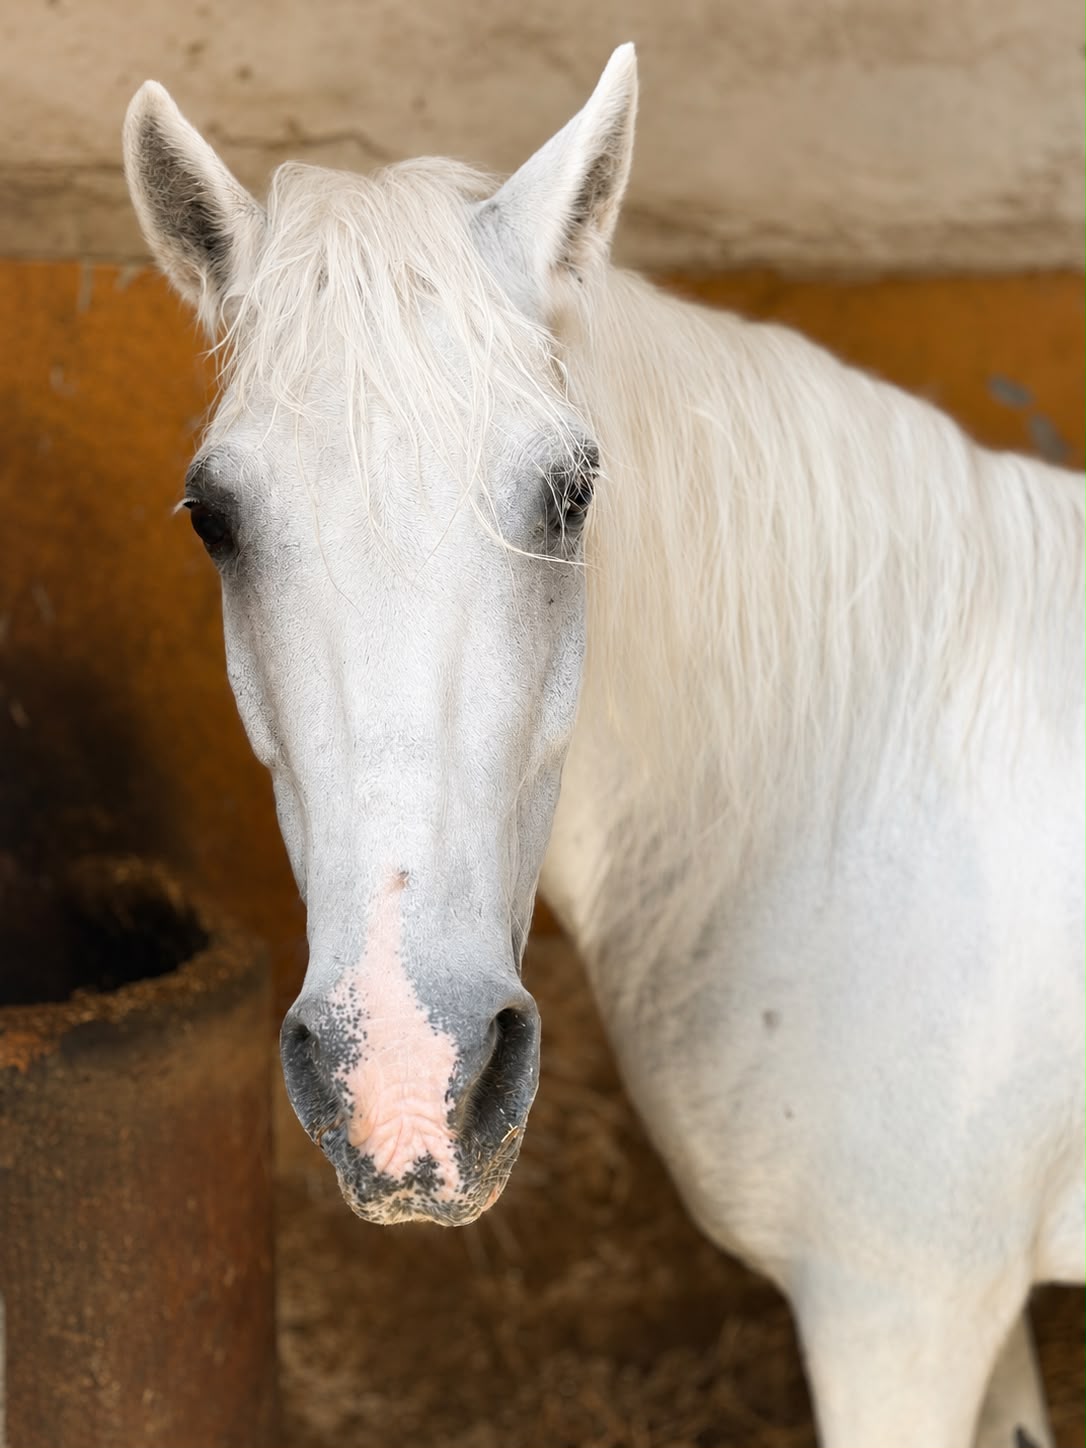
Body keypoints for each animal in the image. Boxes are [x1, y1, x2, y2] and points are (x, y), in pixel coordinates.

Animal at [122, 46, 1085, 1448]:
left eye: (572, 492)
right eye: (213, 516)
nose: (406, 1079)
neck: (863, 781)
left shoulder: (902, 1307)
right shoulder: (970, 1303)